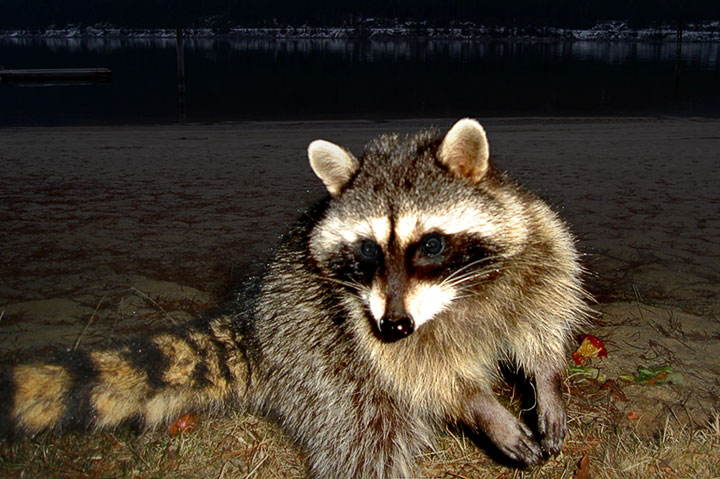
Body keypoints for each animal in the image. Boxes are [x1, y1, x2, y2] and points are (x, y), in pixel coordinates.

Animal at [0, 118, 584, 478]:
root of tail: (252, 319)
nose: (394, 327)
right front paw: (479, 404)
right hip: (317, 353)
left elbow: (544, 314)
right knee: (365, 434)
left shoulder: (534, 241)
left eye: (432, 244)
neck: (456, 298)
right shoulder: (360, 326)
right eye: (367, 250)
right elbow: (424, 373)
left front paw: (548, 378)